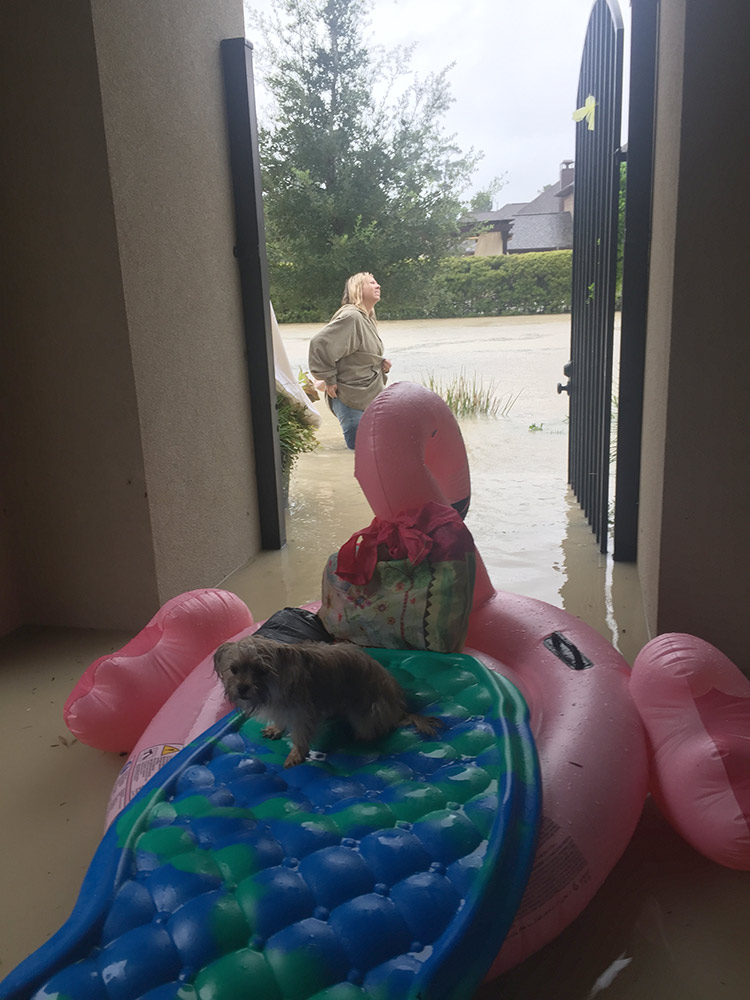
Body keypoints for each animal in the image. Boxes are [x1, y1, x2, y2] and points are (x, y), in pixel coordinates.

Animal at [213, 636, 440, 768]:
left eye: (260, 671)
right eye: (233, 670)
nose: (242, 688)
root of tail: (401, 711)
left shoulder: (302, 713)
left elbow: (300, 736)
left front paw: (296, 753)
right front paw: (276, 728)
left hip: (366, 714)